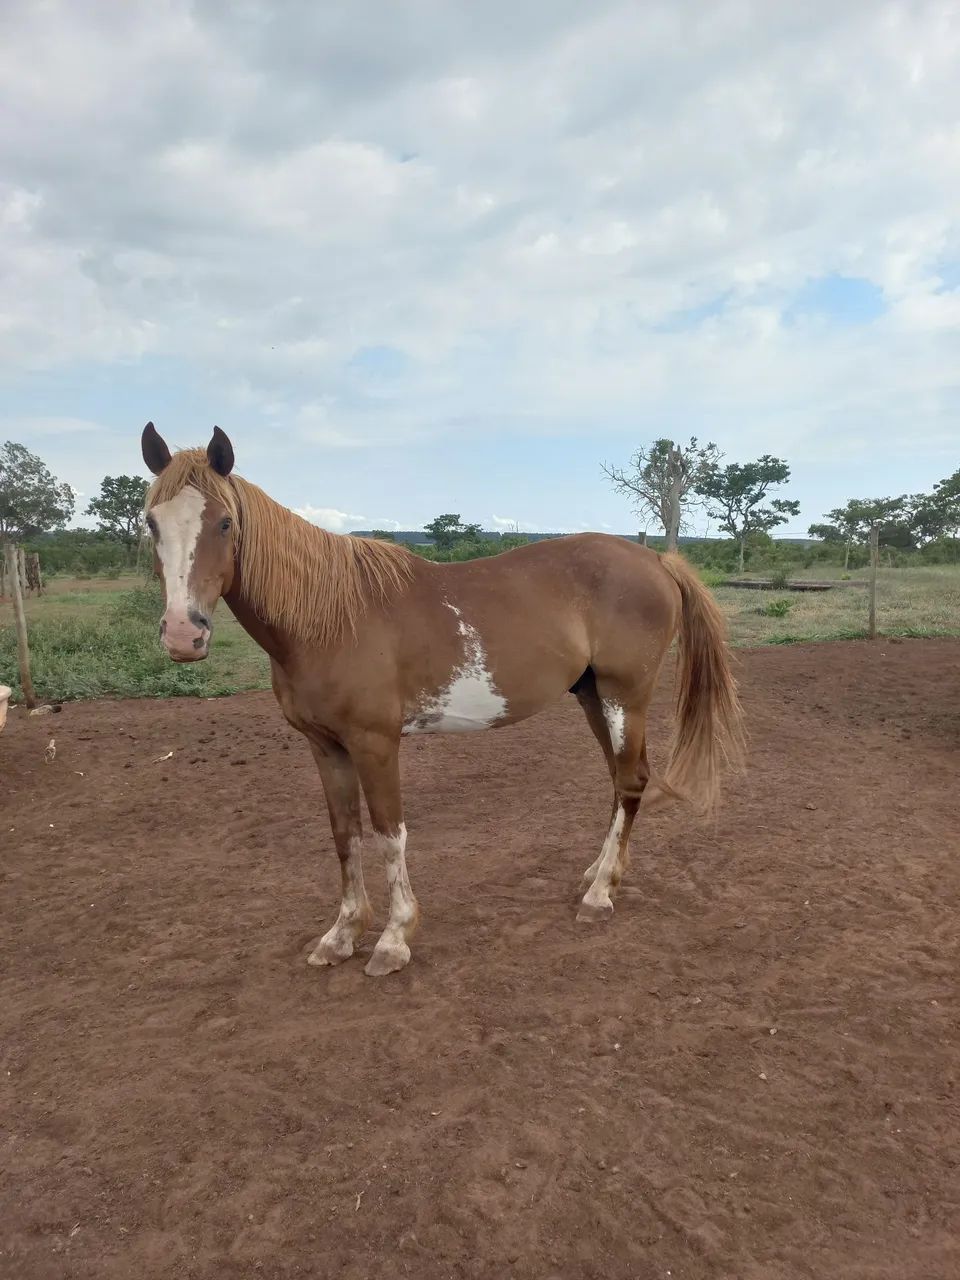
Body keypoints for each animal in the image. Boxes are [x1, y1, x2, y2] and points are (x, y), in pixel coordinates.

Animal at [141, 423, 743, 977]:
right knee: (621, 781)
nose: (183, 634)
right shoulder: (325, 746)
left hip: (625, 697)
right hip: (594, 697)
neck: (328, 619)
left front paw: (392, 940)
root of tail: (657, 562)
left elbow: (390, 833)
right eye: (151, 522)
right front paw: (341, 935)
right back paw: (600, 876)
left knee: (632, 781)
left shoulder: (375, 744)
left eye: (224, 521)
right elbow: (345, 834)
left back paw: (598, 899)